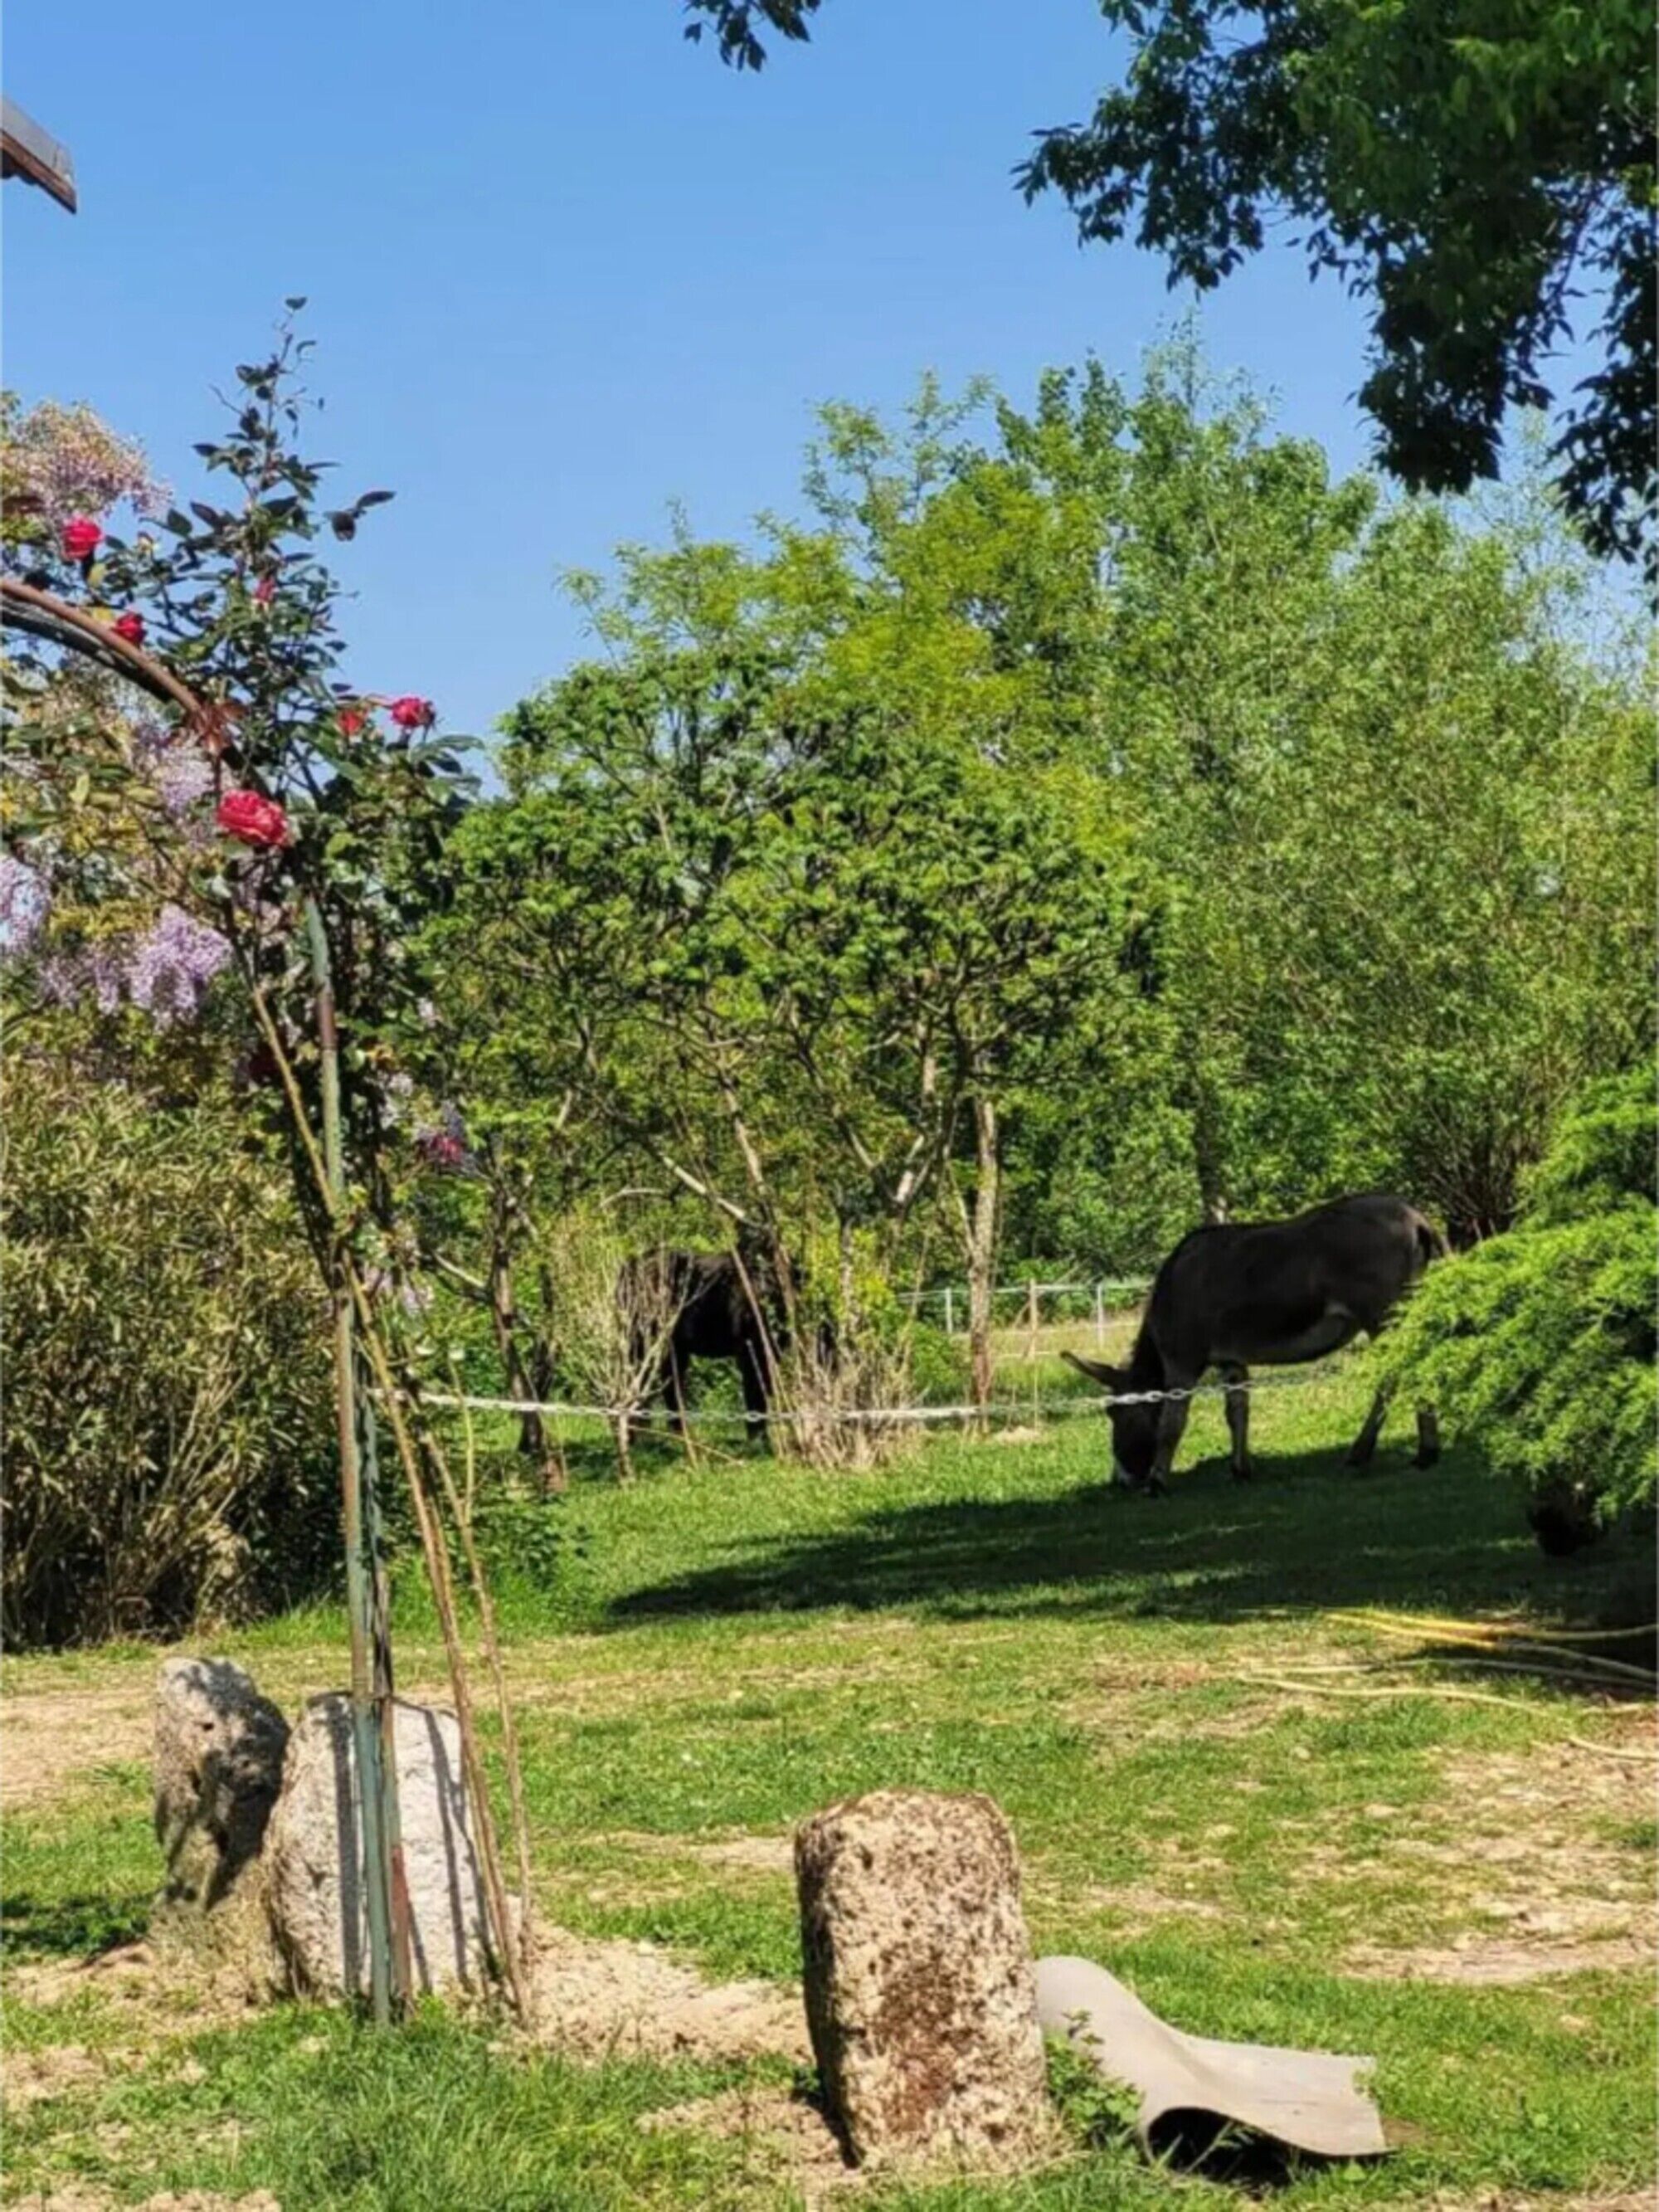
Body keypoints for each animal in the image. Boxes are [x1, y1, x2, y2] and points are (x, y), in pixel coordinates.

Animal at [1062, 1193, 1447, 1495]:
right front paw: (1240, 1469)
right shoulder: (1231, 1361)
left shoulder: (1182, 1359)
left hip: (1382, 1316)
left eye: (1115, 1412)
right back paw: (1426, 1452)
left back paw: (1368, 1452)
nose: (1122, 1480)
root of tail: (1415, 1219)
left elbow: (1173, 1422)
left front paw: (1158, 1481)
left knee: (1396, 1375)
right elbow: (1237, 1413)